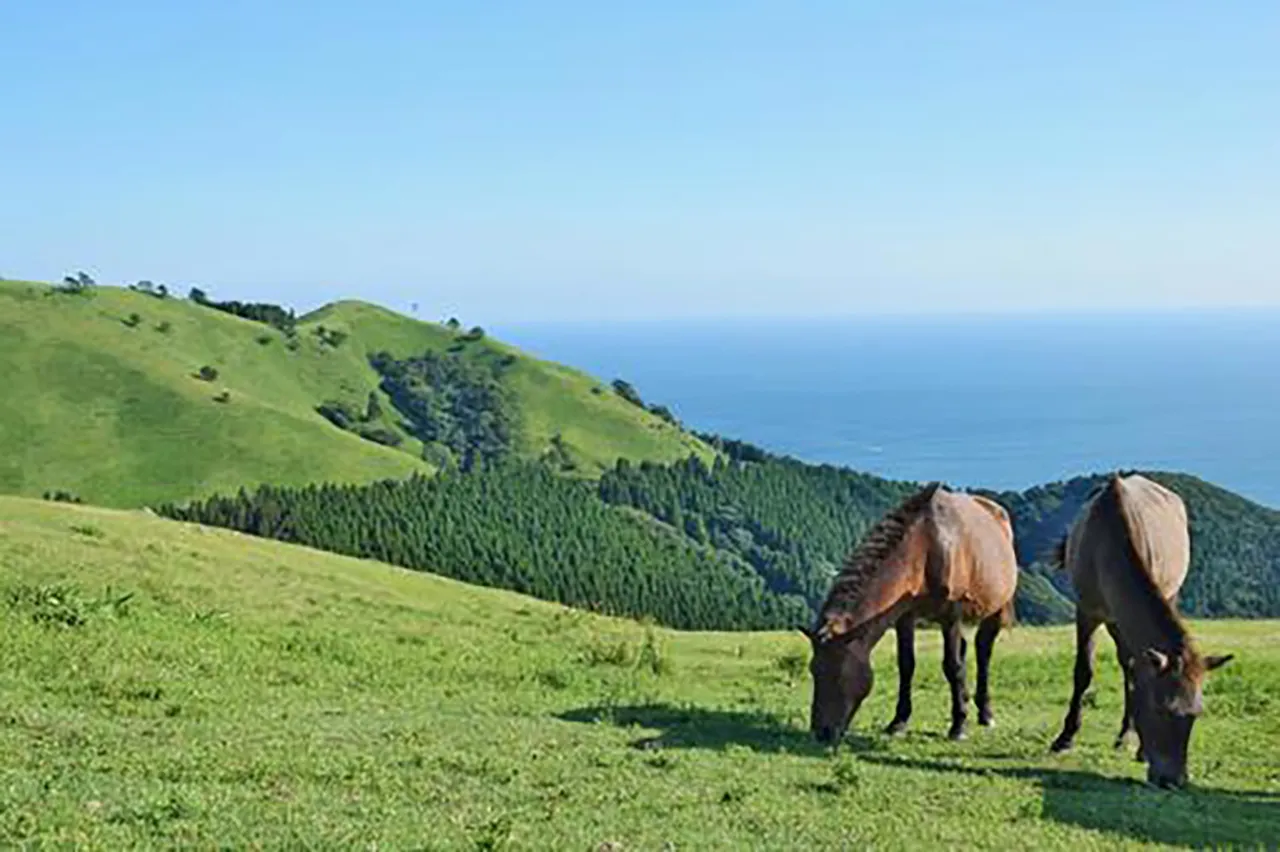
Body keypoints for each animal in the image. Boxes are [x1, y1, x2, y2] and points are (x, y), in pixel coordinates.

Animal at [798, 481, 1018, 747]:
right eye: (814, 670)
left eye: (838, 672)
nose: (822, 733)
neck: (927, 544)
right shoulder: (905, 617)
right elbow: (907, 665)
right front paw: (898, 721)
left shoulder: (950, 615)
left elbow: (952, 666)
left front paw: (958, 725)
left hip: (995, 609)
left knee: (983, 651)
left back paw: (985, 713)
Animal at [1049, 468, 1228, 788]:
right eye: (1162, 708)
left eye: (1196, 713)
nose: (1173, 780)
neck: (1108, 548)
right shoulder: (1087, 610)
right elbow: (1083, 672)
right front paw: (1065, 737)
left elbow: (1137, 672)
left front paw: (1139, 746)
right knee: (1126, 664)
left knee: (1129, 665)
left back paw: (1125, 734)